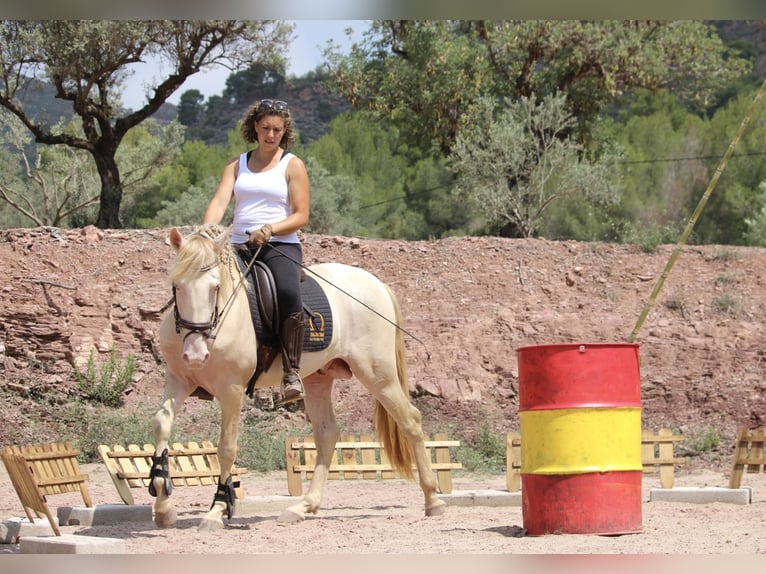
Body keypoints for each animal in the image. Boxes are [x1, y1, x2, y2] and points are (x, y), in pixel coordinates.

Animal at [151, 227, 448, 532]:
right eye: (177, 286)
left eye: (215, 288)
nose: (195, 355)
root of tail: (376, 283)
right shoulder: (179, 380)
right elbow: (161, 424)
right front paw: (163, 504)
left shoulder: (231, 389)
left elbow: (226, 448)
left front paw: (218, 509)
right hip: (320, 380)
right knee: (328, 434)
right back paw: (304, 506)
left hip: (378, 375)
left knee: (411, 420)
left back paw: (433, 500)